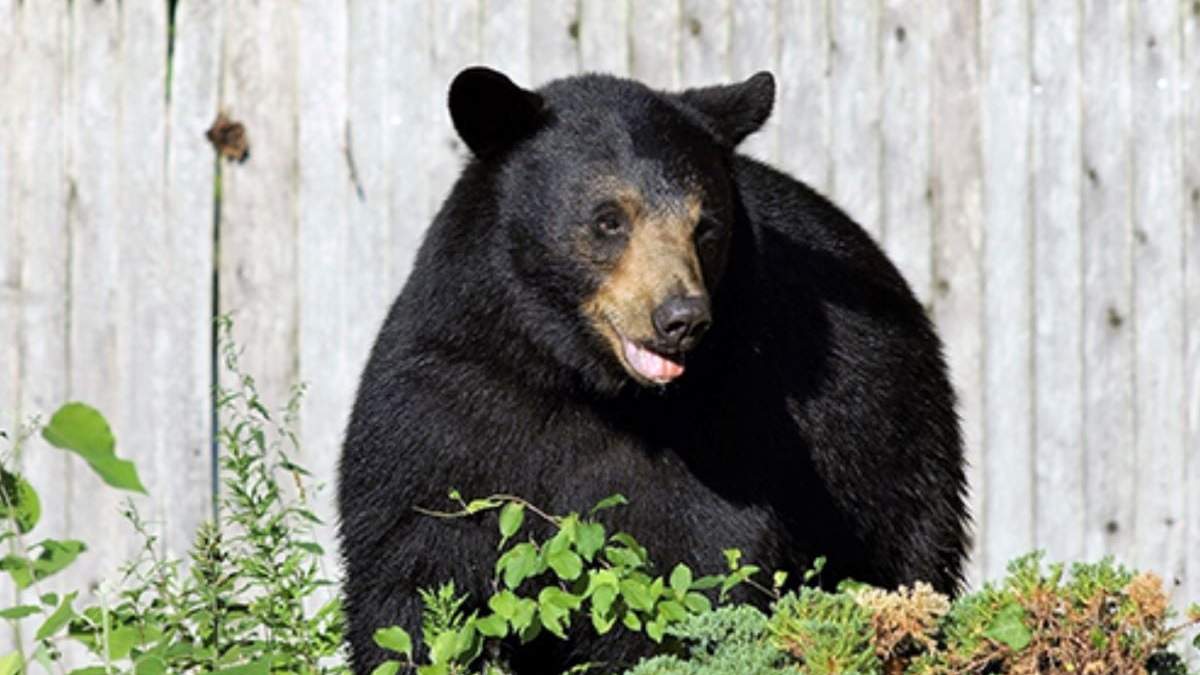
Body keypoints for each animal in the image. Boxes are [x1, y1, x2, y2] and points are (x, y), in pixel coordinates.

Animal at [338, 66, 969, 674]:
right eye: (609, 220)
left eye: (705, 226)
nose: (681, 318)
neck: (578, 377)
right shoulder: (448, 403)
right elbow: (413, 574)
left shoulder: (728, 430)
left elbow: (693, 568)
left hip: (889, 441)